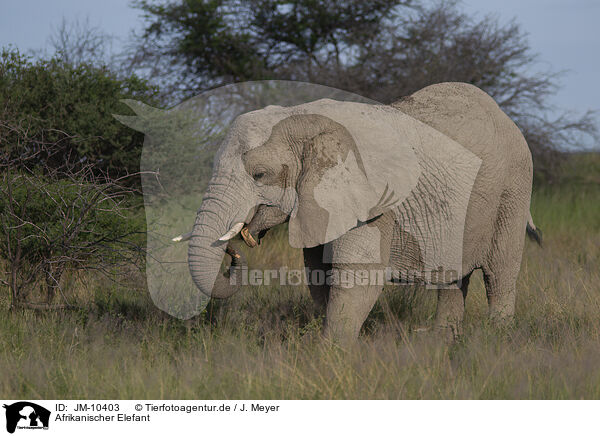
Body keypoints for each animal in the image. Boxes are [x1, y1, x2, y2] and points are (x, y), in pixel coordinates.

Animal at [183, 81, 540, 340]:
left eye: (259, 175)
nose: (234, 253)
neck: (303, 120)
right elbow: (320, 275)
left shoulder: (373, 199)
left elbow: (357, 278)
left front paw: (331, 357)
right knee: (453, 277)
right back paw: (443, 343)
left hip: (514, 188)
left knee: (500, 275)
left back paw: (496, 341)